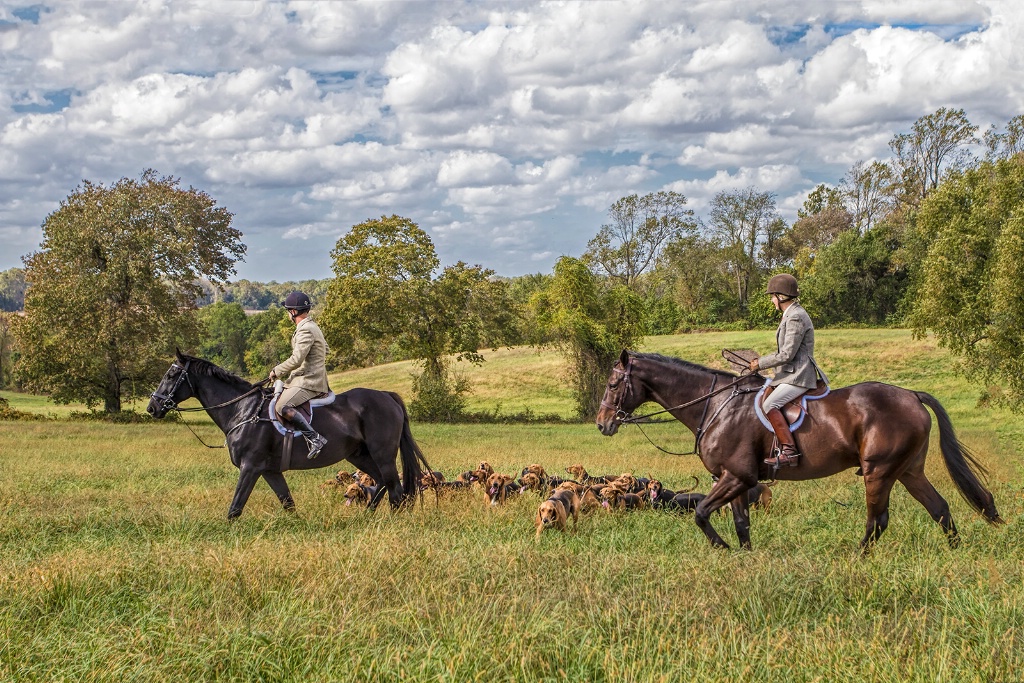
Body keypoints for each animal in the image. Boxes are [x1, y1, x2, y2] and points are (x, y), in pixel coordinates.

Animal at [147, 352, 428, 518]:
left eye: (171, 374)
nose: (152, 407)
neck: (242, 410)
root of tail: (386, 396)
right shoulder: (270, 471)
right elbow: (288, 503)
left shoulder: (250, 467)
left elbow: (235, 507)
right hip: (358, 455)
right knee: (380, 482)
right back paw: (367, 516)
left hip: (382, 454)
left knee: (394, 488)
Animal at [598, 350, 1003, 552]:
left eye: (614, 383)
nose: (602, 424)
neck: (716, 405)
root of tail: (911, 395)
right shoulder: (735, 479)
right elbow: (741, 522)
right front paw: (744, 555)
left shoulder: (736, 476)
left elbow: (699, 514)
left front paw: (722, 549)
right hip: (908, 471)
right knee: (939, 508)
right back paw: (956, 554)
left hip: (879, 471)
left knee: (878, 520)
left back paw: (855, 556)